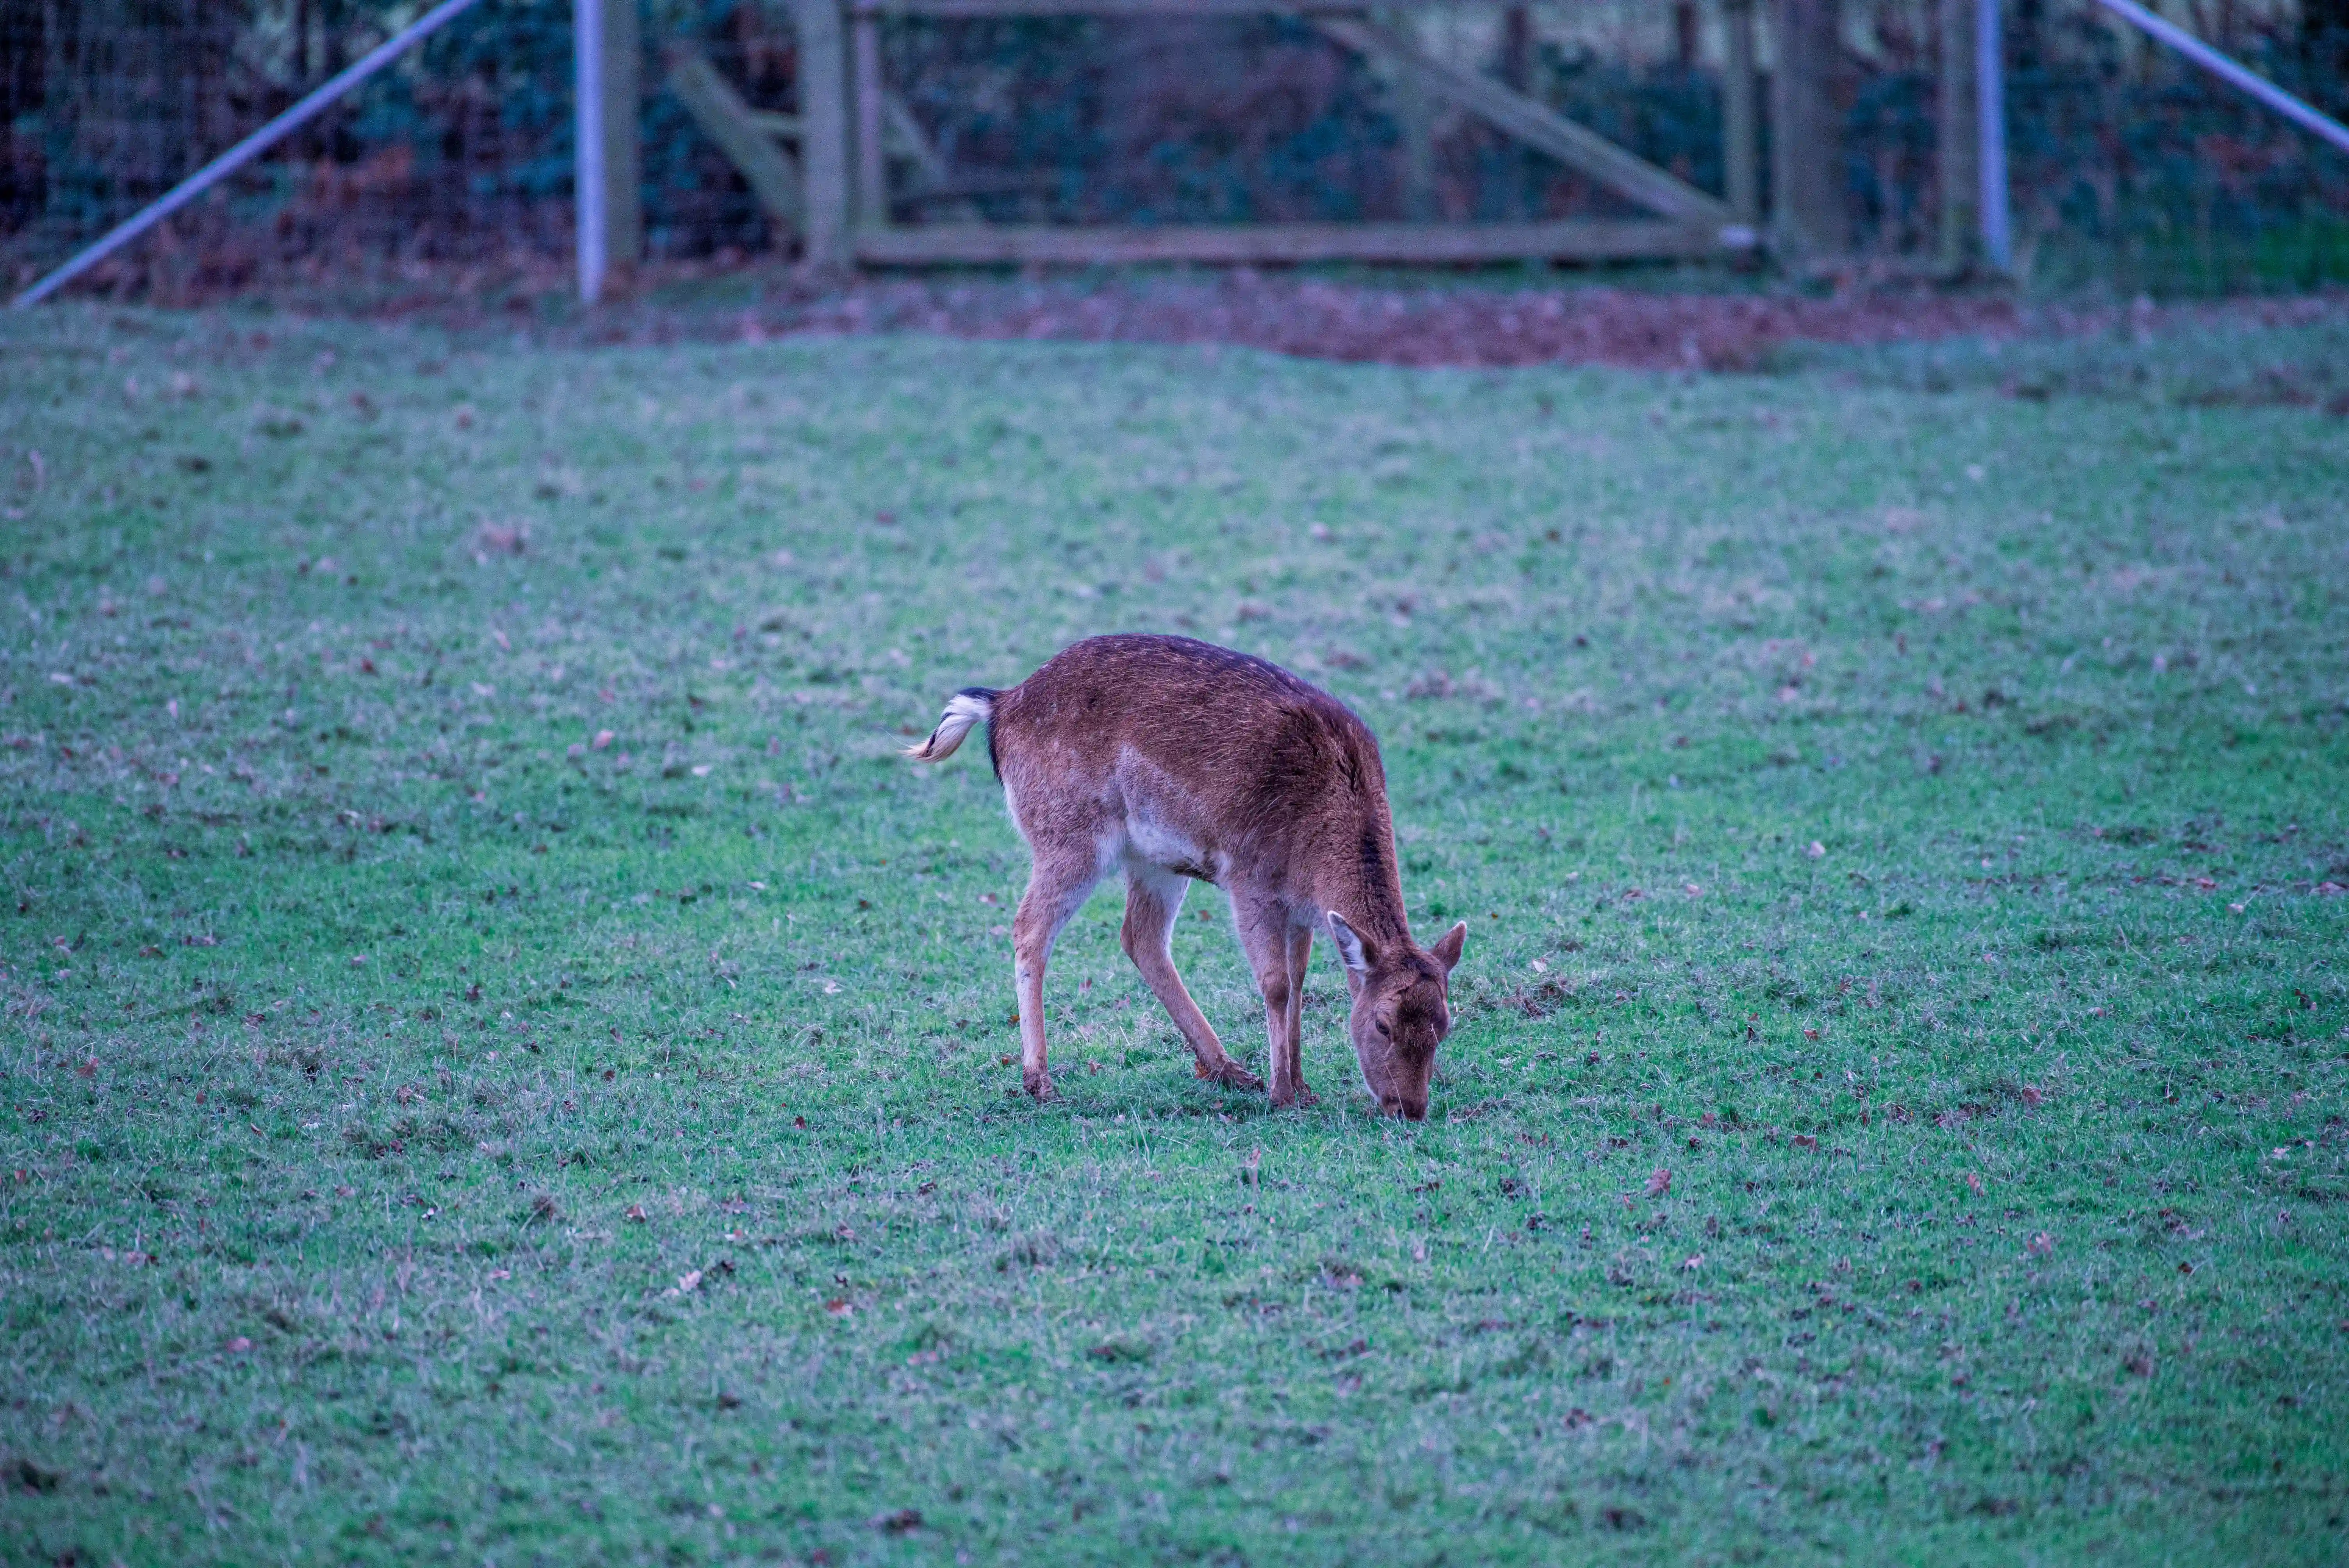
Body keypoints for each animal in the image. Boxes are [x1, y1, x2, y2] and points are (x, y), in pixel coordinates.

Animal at [906, 634, 1466, 1119]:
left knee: (1141, 937)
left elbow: (1301, 979)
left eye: (1444, 1025)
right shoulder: (1250, 880)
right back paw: (1040, 1081)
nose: (1410, 1108)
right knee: (1030, 928)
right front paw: (1283, 1094)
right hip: (1068, 836)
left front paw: (1301, 1084)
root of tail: (1000, 705)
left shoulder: (1301, 909)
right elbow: (1276, 984)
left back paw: (1228, 1069)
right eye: (1382, 1024)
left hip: (1153, 860)